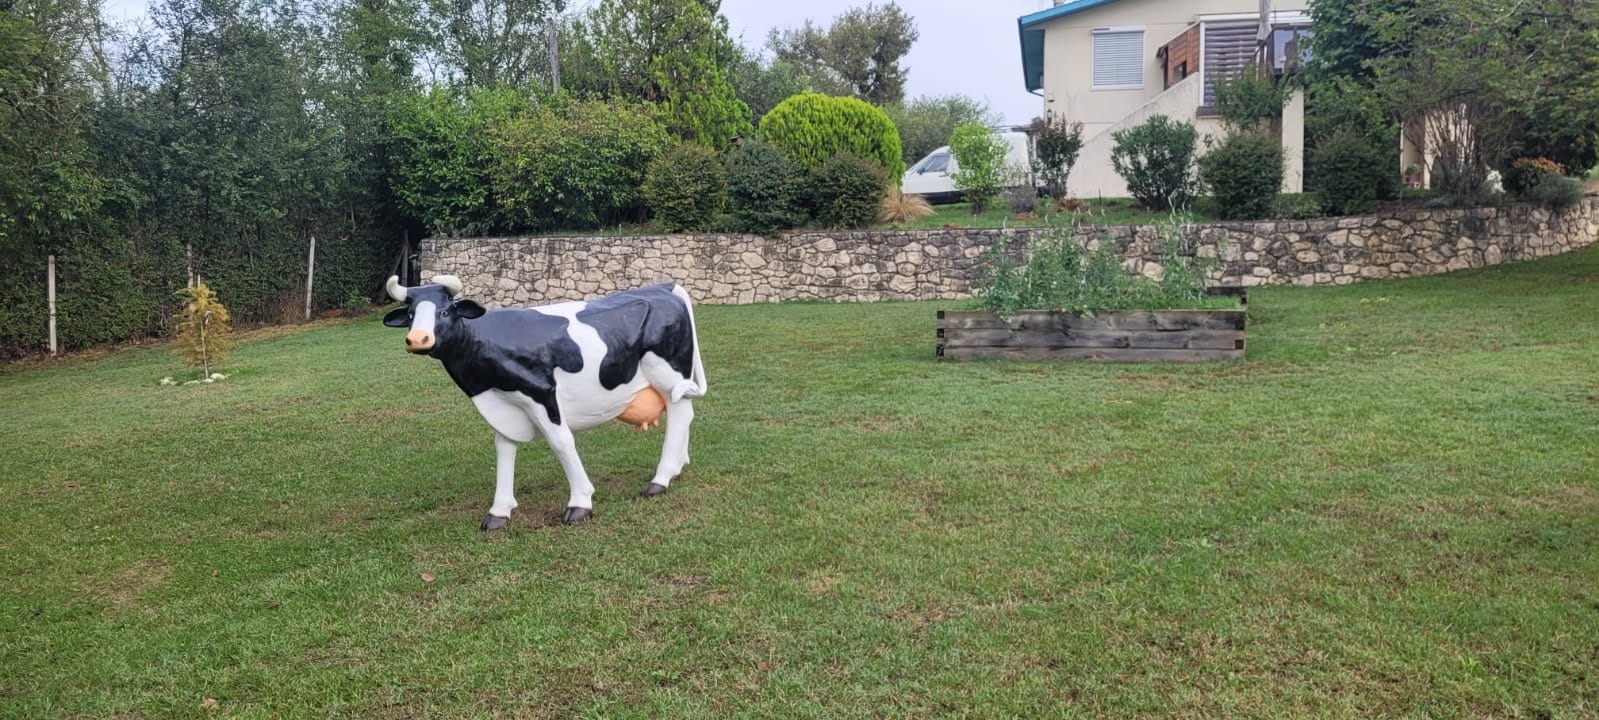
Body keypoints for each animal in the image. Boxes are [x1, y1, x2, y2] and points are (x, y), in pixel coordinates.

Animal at [382, 274, 706, 529]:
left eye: (445, 311)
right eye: (410, 314)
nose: (418, 339)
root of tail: (663, 287)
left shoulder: (541, 392)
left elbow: (561, 442)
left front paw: (580, 503)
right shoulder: (504, 404)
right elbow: (504, 449)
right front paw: (500, 511)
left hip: (667, 373)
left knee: (680, 414)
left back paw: (661, 478)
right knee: (685, 413)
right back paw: (677, 467)